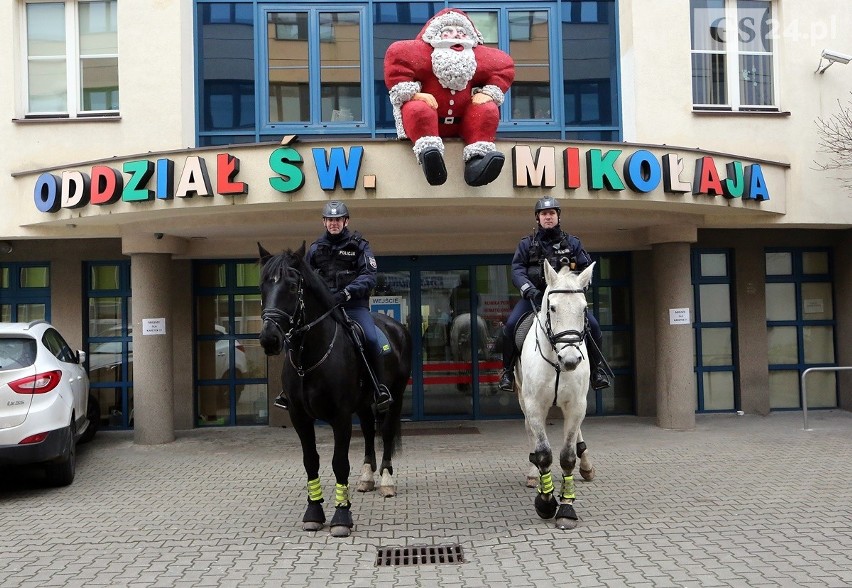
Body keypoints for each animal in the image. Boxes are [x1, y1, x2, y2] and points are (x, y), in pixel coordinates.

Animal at [256, 243, 412, 536]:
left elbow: (339, 462)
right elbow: (311, 460)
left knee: (385, 433)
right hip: (363, 405)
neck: (310, 358)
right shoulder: (299, 417)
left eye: (292, 286)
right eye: (262, 285)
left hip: (394, 397)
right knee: (369, 431)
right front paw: (314, 512)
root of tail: (396, 326)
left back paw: (386, 480)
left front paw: (341, 516)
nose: (269, 339)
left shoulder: (340, 416)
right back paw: (366, 478)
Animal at [516, 260, 596, 532]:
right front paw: (545, 501)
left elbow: (568, 456)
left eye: (584, 308)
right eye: (552, 307)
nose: (570, 360)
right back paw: (533, 474)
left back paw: (587, 465)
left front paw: (567, 508)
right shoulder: (534, 404)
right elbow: (543, 452)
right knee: (530, 431)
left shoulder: (576, 404)